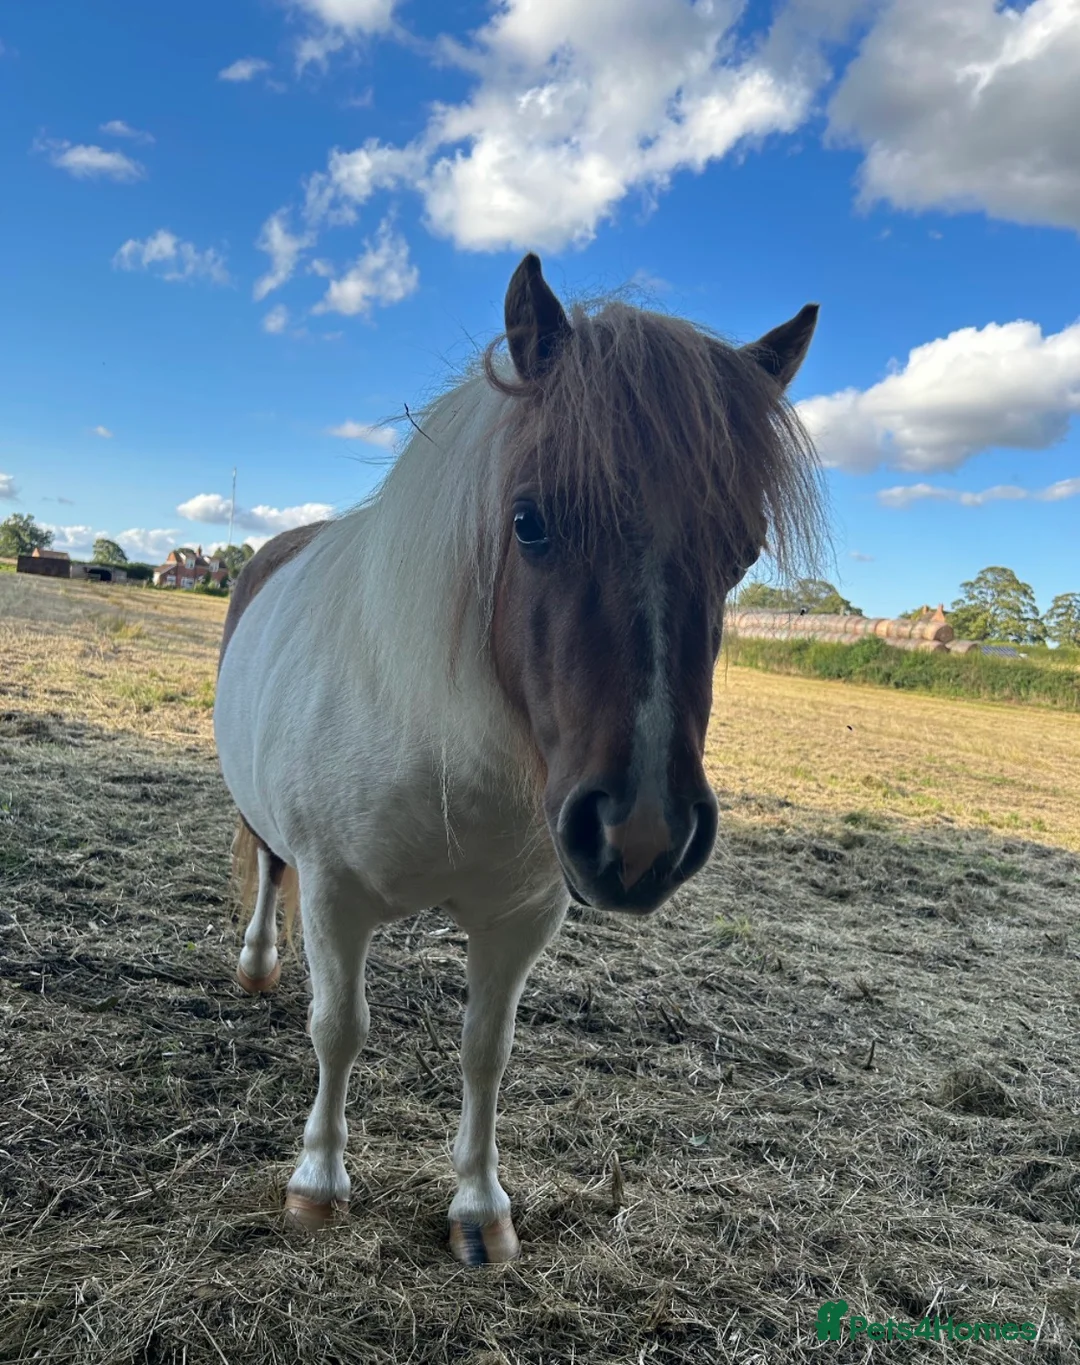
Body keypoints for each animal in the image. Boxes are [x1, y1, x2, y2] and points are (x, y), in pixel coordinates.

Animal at [213, 253, 823, 1266]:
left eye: (740, 554)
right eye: (530, 521)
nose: (642, 832)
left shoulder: (522, 918)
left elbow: (484, 1050)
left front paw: (478, 1204)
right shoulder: (336, 894)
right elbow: (339, 1028)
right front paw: (319, 1182)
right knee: (267, 864)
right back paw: (259, 963)